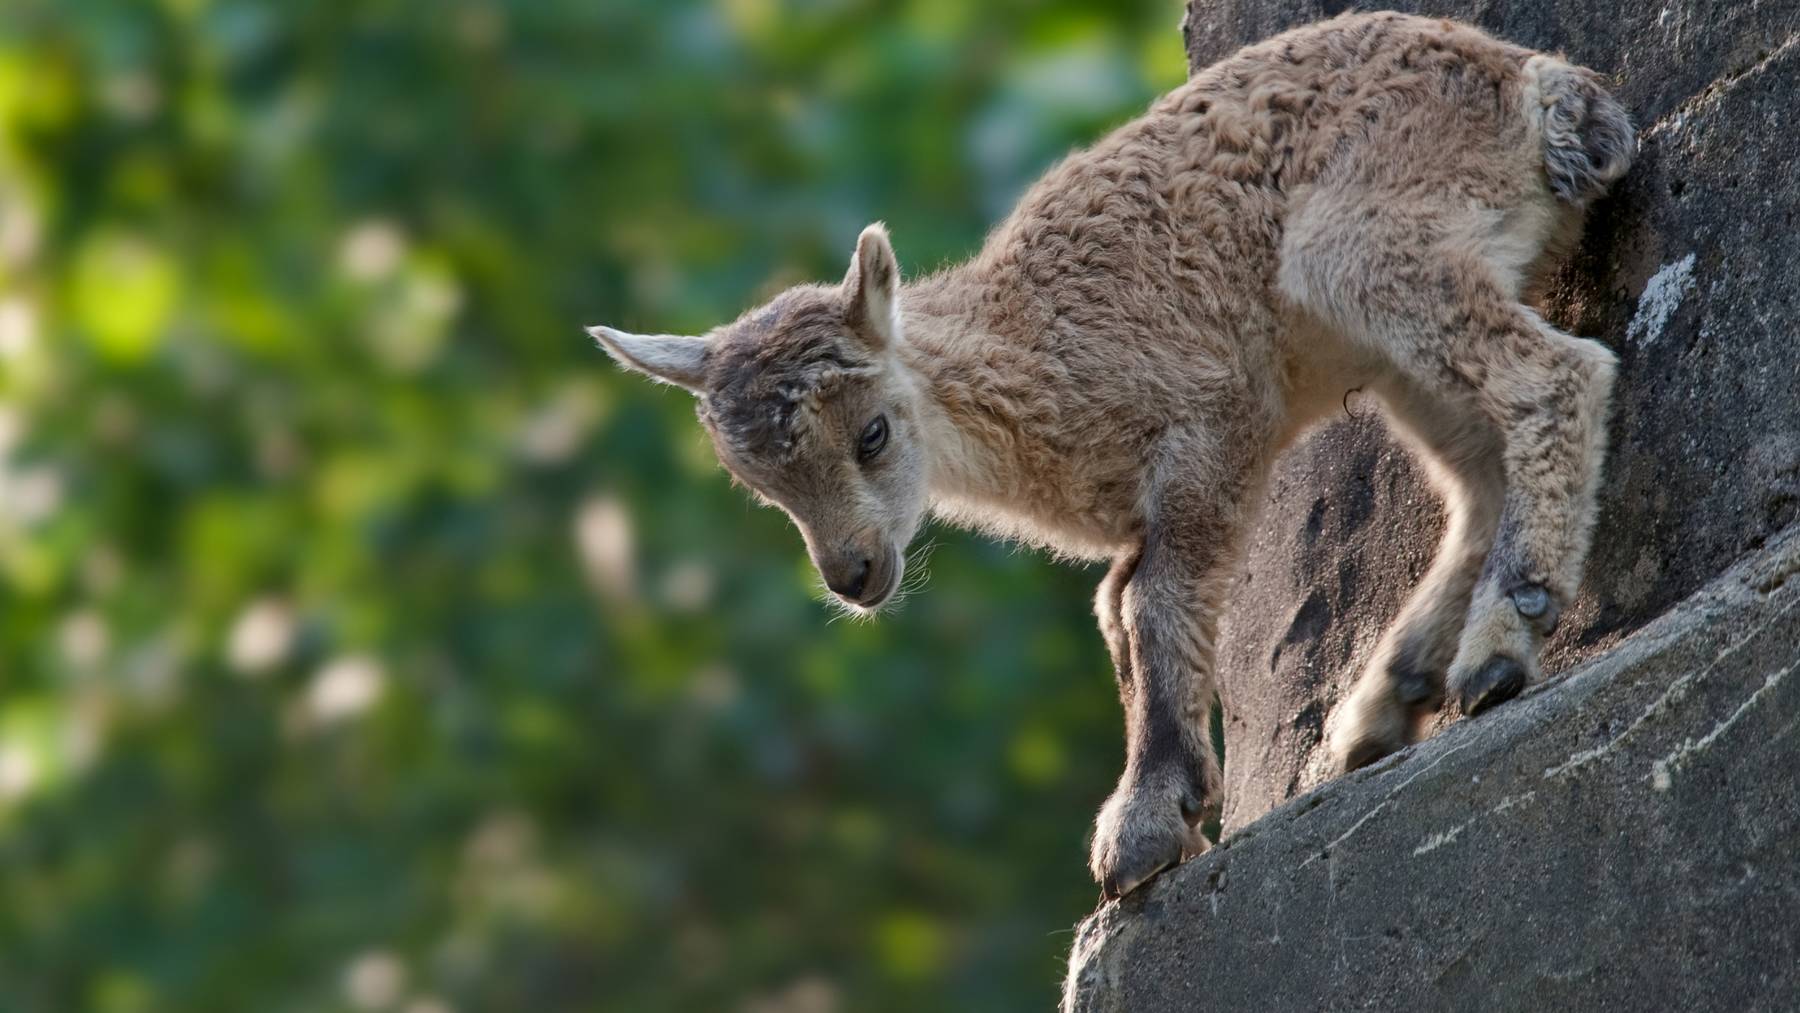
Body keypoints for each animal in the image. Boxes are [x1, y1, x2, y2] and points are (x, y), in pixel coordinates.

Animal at [590, 11, 1634, 899]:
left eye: (872, 433)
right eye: (760, 485)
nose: (853, 573)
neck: (1026, 360)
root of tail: (1538, 91)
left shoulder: (1212, 424)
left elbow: (1153, 603)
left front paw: (1141, 830)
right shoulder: (1144, 508)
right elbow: (1119, 616)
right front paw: (1163, 804)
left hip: (1370, 243)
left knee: (1556, 374)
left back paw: (1496, 648)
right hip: (1393, 342)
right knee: (1479, 476)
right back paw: (1382, 705)